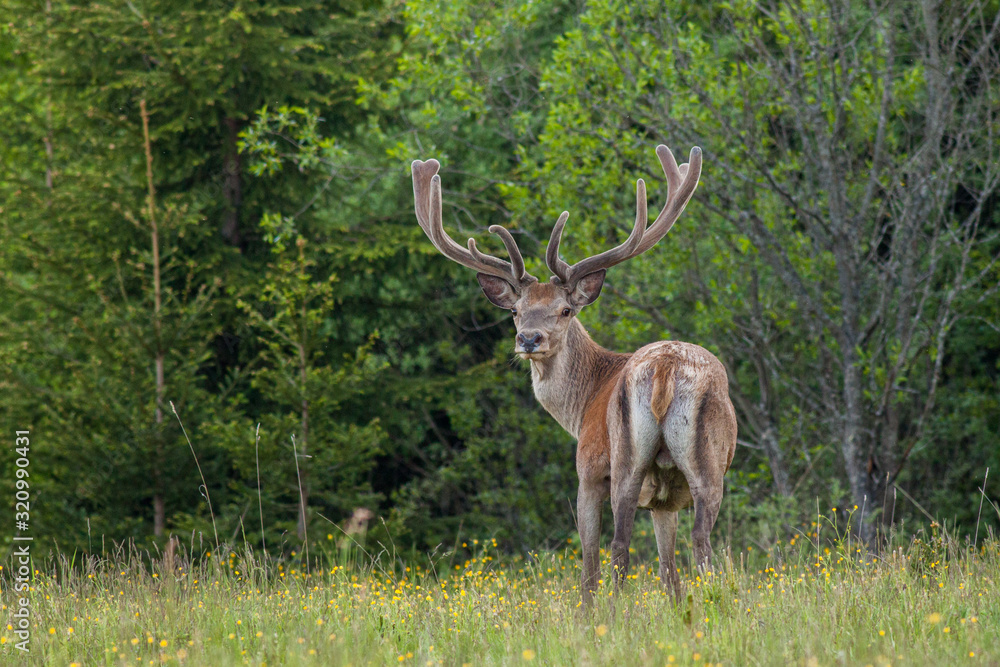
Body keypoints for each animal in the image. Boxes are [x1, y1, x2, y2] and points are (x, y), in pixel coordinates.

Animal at [410, 145, 737, 604]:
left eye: (565, 310)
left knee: (618, 546)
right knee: (701, 542)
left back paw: (616, 612)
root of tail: (664, 368)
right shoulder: (664, 501)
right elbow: (667, 569)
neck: (581, 406)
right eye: (515, 311)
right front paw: (676, 610)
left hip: (624, 460)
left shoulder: (588, 471)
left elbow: (588, 561)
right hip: (706, 466)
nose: (529, 339)